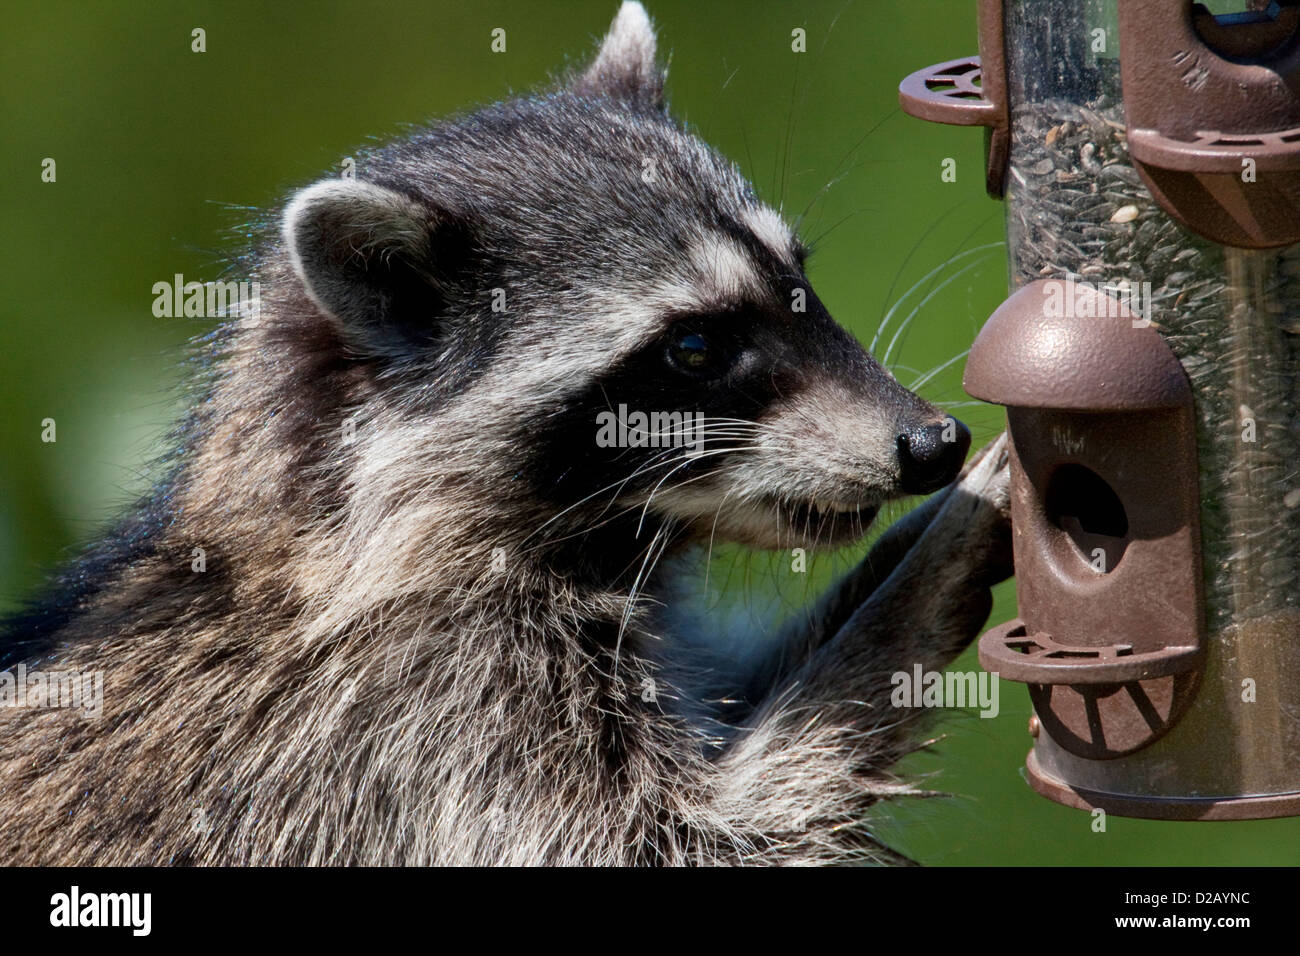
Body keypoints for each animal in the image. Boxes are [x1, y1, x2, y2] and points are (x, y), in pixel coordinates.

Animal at [0, 2, 1011, 865]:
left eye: (800, 279)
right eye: (694, 348)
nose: (931, 444)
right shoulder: (415, 713)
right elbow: (684, 839)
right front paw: (909, 601)